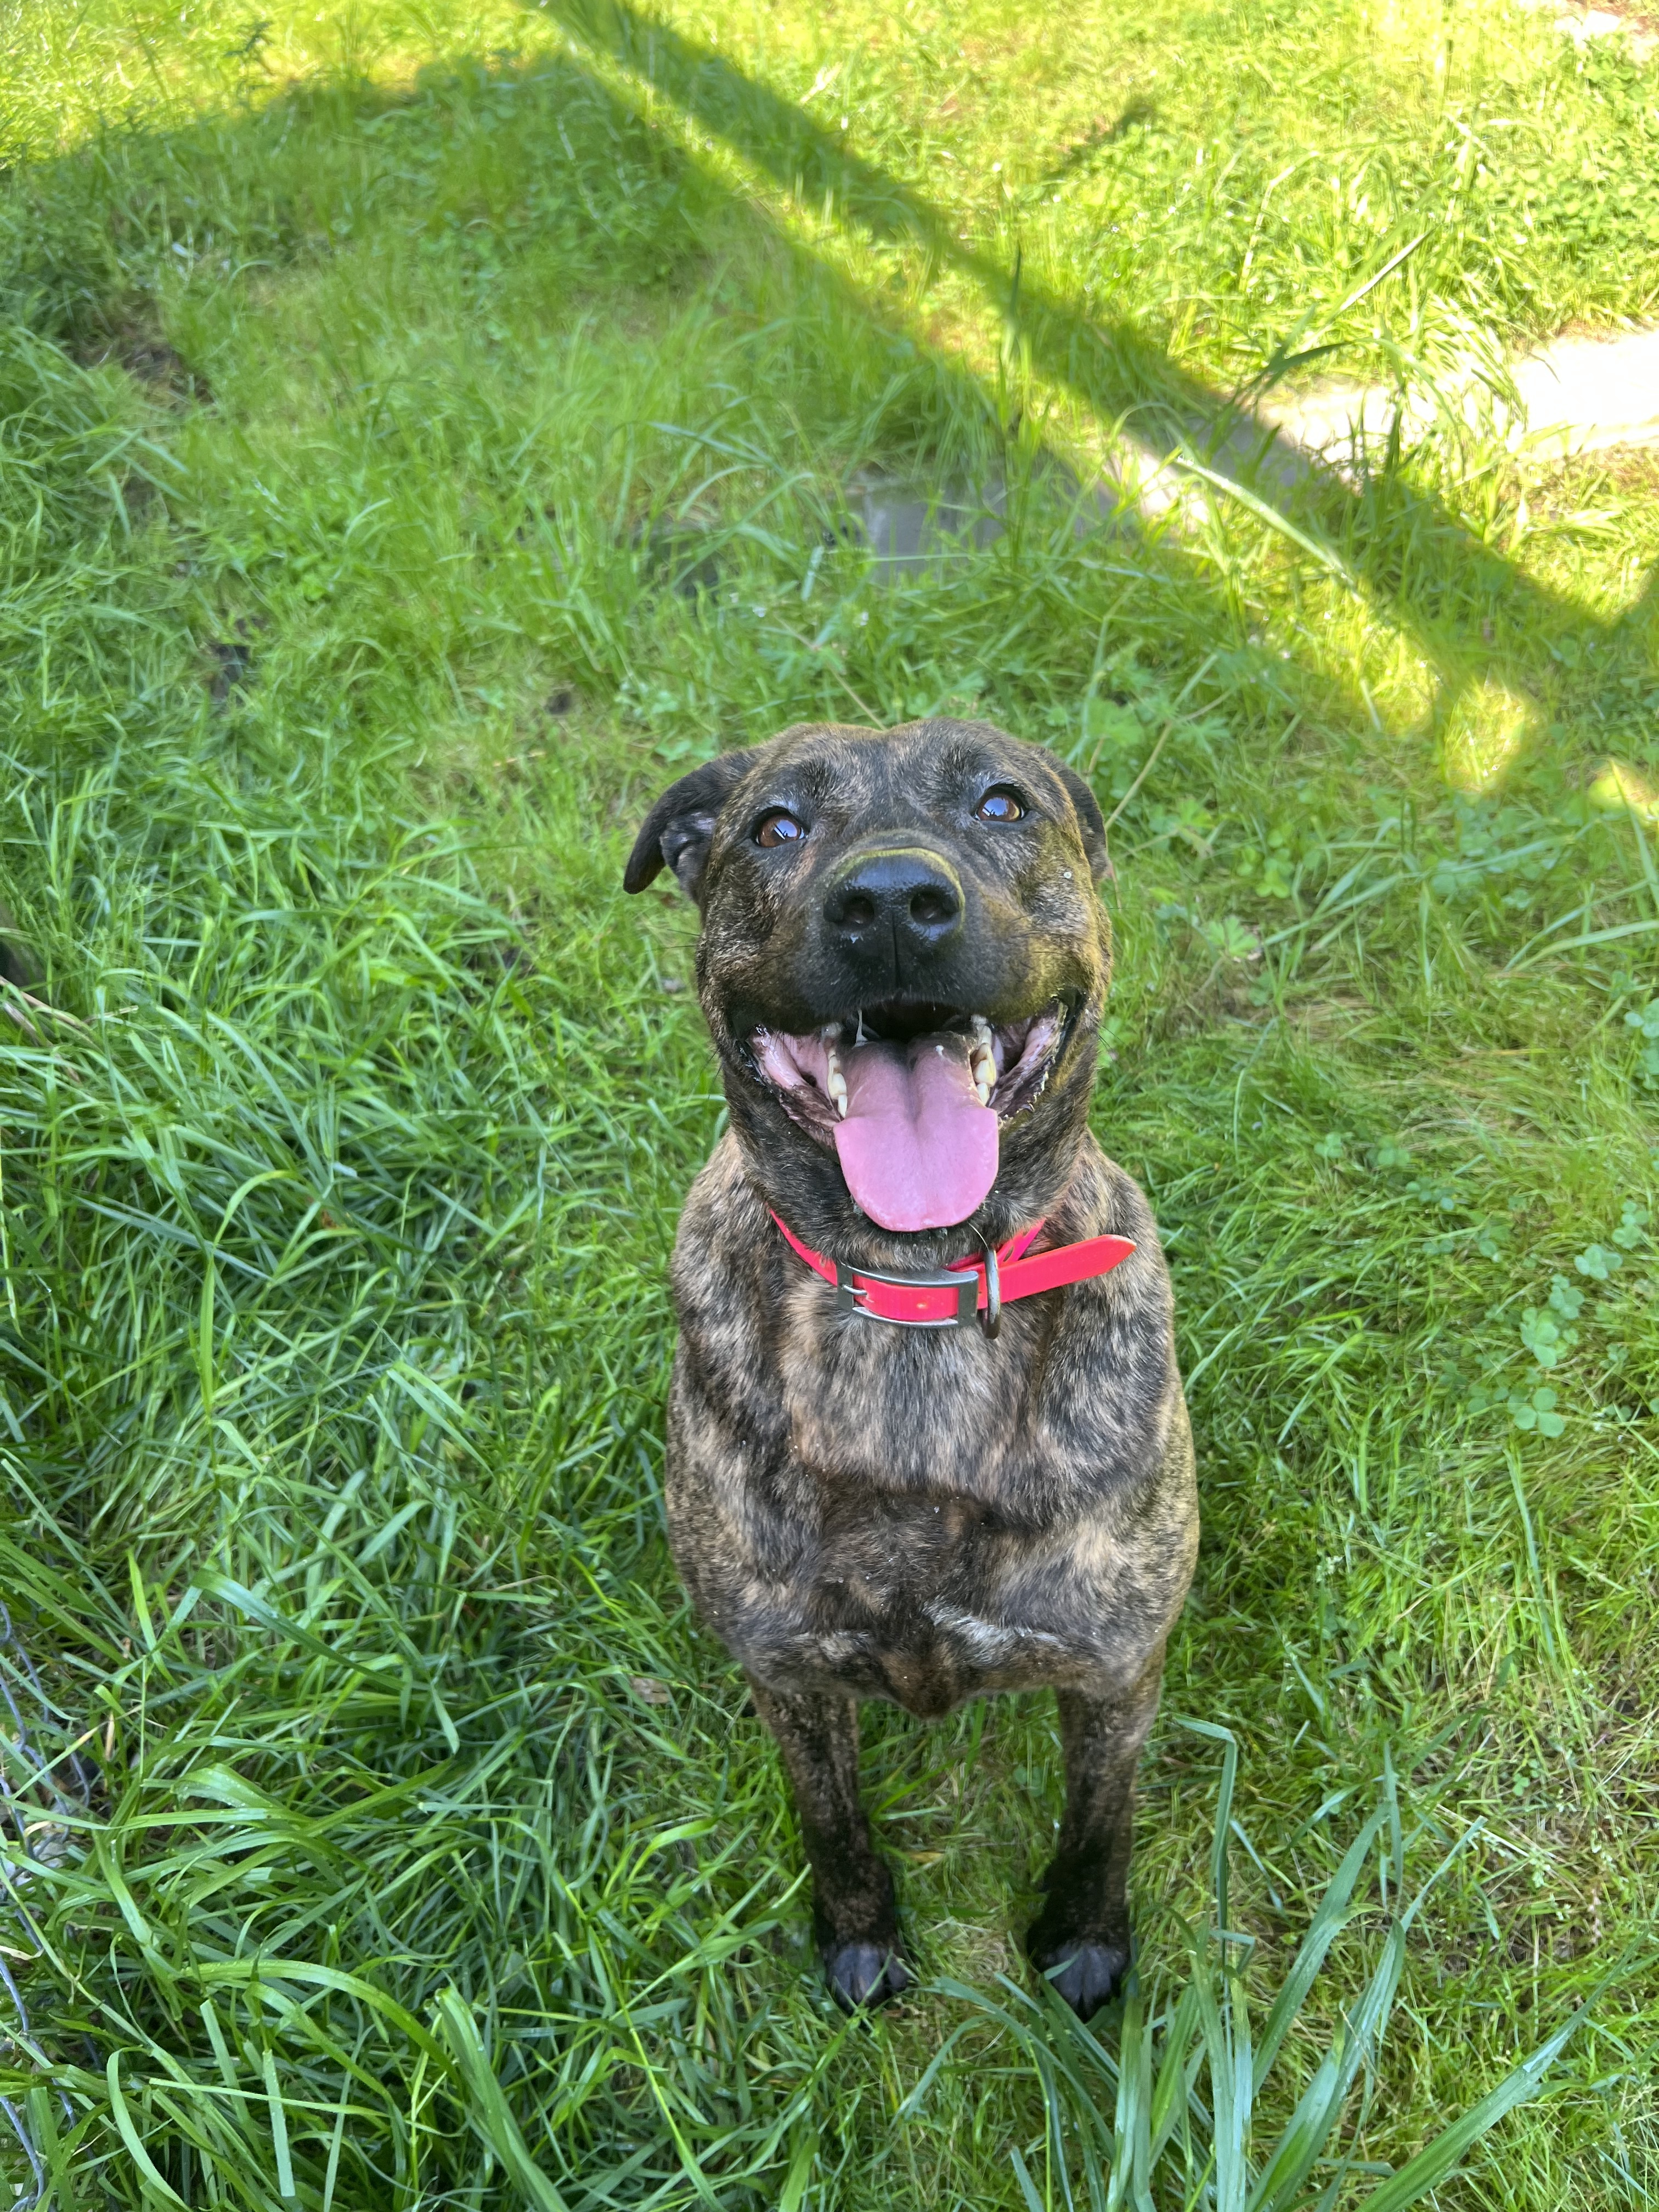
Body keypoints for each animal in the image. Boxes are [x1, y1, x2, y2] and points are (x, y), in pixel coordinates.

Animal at [624, 716, 1194, 2017]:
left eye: (1002, 804)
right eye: (776, 825)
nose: (890, 899)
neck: (914, 1298)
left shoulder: (1115, 1668)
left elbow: (1101, 1816)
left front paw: (1084, 1941)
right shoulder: (787, 1675)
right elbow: (829, 1816)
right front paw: (859, 1937)